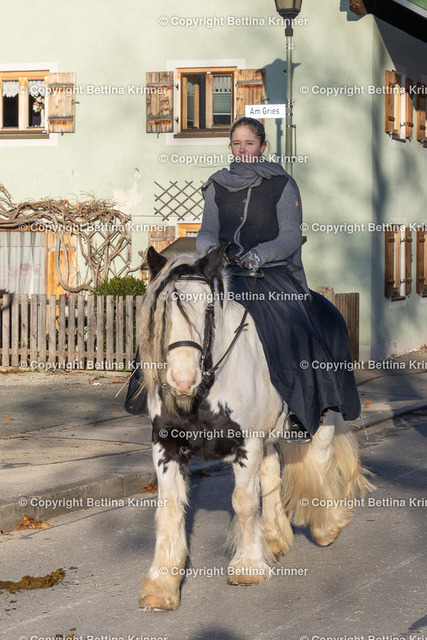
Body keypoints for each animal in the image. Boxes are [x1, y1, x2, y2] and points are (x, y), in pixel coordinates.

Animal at [137, 245, 374, 611]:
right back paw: (274, 538)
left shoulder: (245, 443)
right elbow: (170, 508)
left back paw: (325, 526)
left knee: (321, 460)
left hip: (326, 416)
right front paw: (162, 584)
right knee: (272, 474)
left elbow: (244, 502)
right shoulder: (167, 445)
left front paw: (248, 566)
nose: (182, 381)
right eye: (160, 312)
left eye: (208, 308)